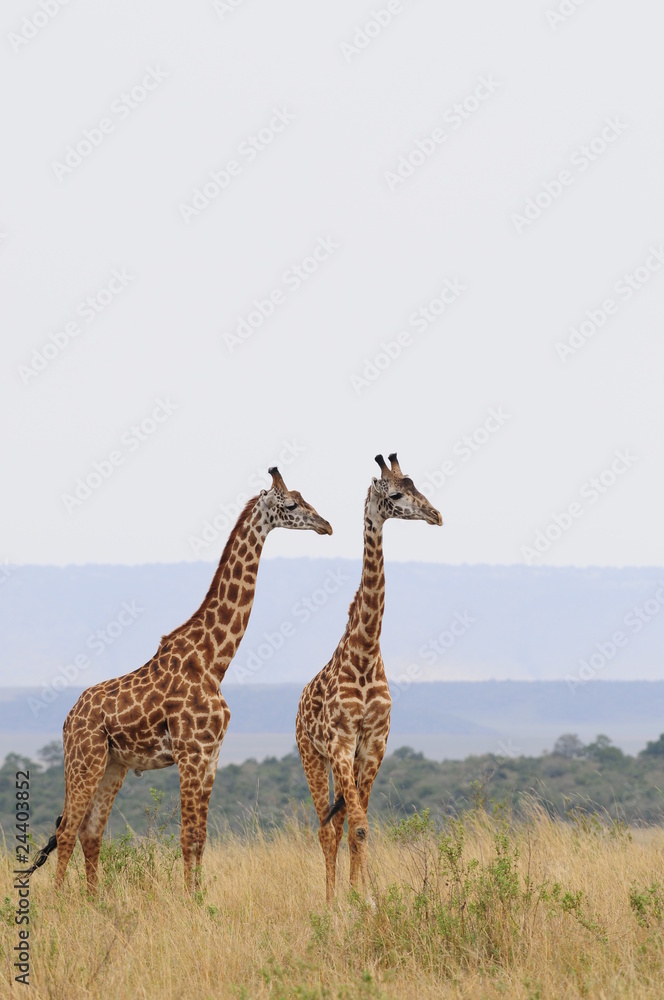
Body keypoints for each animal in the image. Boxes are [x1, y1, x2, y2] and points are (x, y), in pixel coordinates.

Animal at [29, 468, 332, 895]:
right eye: (290, 504)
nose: (326, 525)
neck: (214, 660)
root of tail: (68, 719)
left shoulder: (211, 755)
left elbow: (200, 836)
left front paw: (199, 896)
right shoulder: (191, 752)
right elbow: (188, 836)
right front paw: (190, 900)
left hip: (113, 766)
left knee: (91, 832)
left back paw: (94, 900)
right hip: (83, 760)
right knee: (68, 831)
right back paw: (61, 902)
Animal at [296, 453, 442, 905]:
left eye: (415, 485)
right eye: (394, 495)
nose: (436, 514)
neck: (364, 652)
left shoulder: (374, 744)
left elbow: (360, 828)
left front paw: (363, 898)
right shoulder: (341, 743)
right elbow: (358, 827)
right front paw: (355, 903)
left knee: (338, 824)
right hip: (311, 755)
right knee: (326, 828)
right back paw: (328, 903)